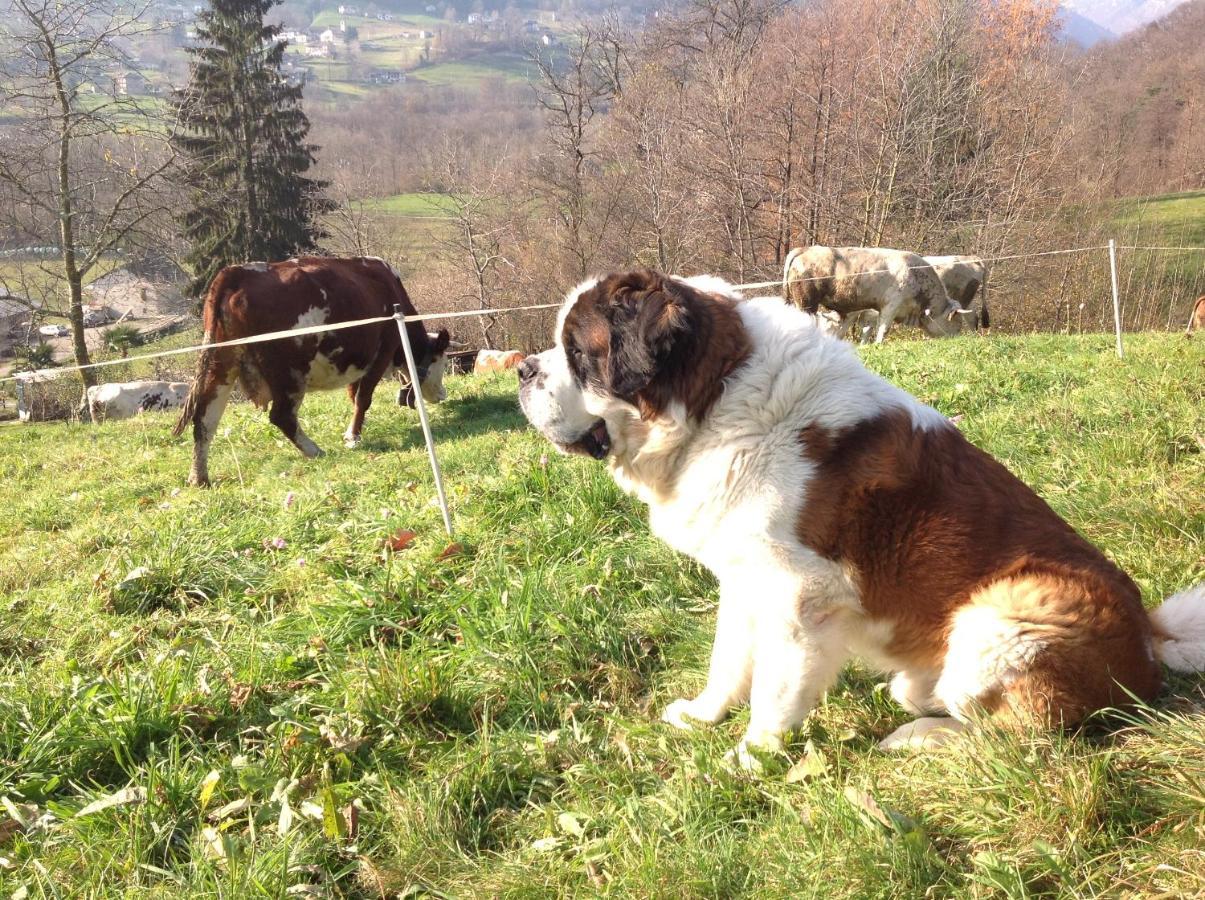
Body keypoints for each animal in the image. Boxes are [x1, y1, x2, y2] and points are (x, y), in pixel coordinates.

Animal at [179, 256, 455, 489]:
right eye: (441, 361)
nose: (443, 394)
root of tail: (237, 272)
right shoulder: (382, 352)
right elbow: (363, 398)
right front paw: (352, 436)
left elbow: (353, 393)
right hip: (289, 372)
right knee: (281, 416)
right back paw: (314, 450)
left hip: (221, 366)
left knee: (205, 419)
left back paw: (198, 477)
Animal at [518, 267, 1205, 766]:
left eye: (578, 353)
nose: (524, 369)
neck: (717, 396)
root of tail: (1149, 640)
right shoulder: (744, 580)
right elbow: (728, 661)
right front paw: (702, 715)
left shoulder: (801, 596)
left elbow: (773, 687)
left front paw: (750, 759)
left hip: (1003, 617)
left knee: (1023, 737)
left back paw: (920, 738)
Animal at [780, 246, 959, 344]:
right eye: (955, 319)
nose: (959, 336)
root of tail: (806, 249)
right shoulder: (891, 305)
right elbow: (883, 328)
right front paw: (878, 345)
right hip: (806, 302)